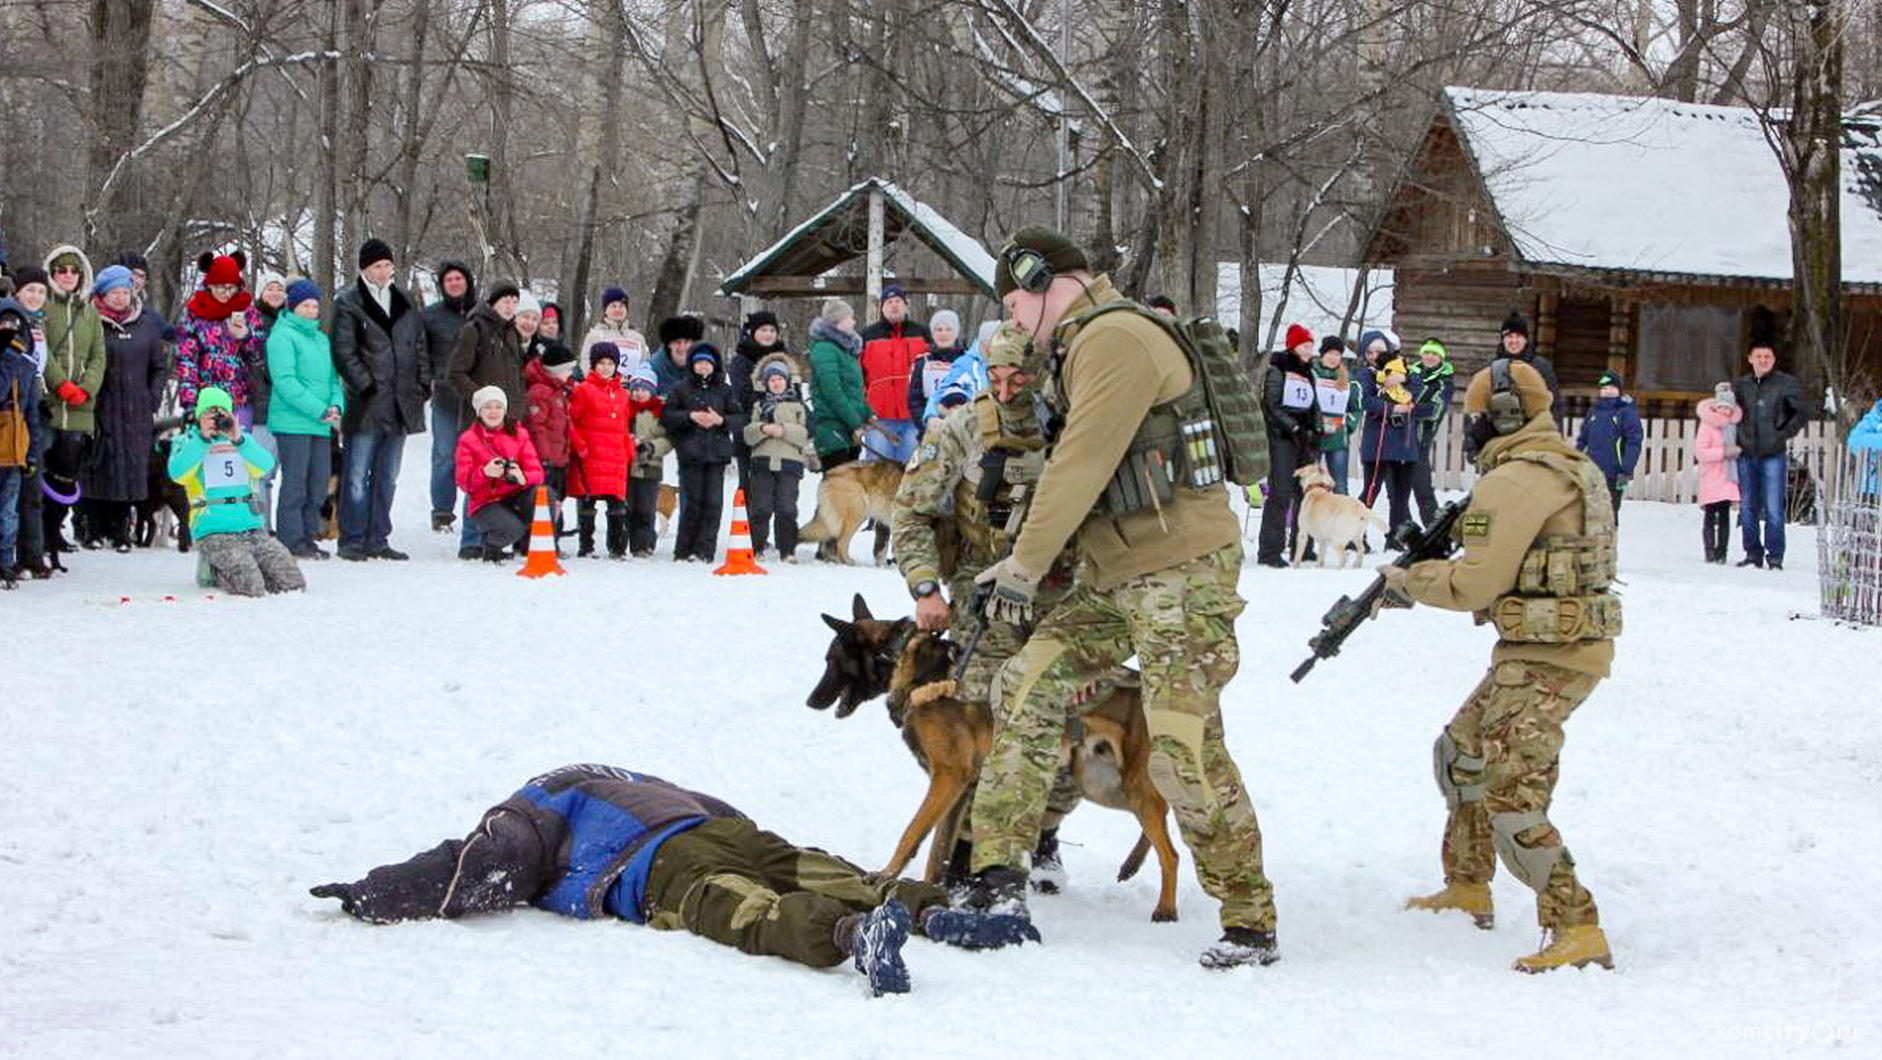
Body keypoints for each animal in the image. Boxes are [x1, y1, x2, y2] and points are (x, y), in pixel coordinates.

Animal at [805, 594, 1174, 926]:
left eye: (830, 661)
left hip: (1127, 784)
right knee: (1162, 814)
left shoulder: (948, 778)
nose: (810, 701)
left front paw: (884, 874)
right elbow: (938, 851)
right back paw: (1132, 863)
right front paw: (929, 889)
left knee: (1171, 849)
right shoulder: (959, 790)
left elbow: (913, 832)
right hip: (1104, 784)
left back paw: (1165, 909)